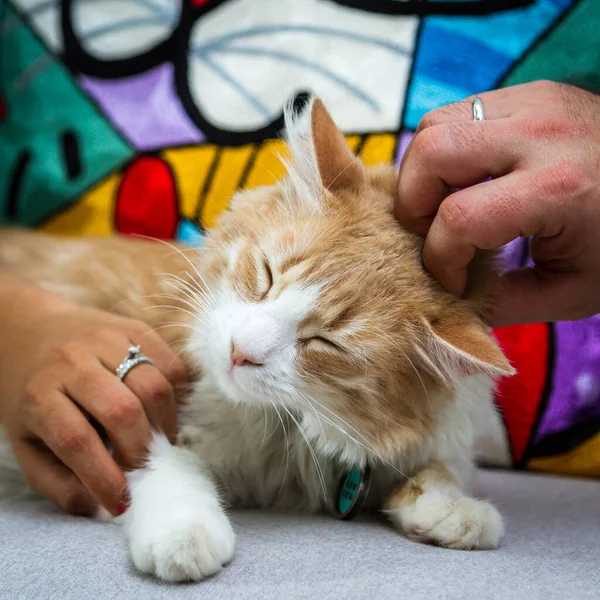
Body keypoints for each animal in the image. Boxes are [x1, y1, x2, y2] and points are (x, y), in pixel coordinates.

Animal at [2, 98, 512, 580]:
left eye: (327, 344)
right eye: (266, 275)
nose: (239, 352)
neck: (293, 430)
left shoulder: (438, 428)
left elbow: (442, 468)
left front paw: (455, 510)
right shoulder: (130, 428)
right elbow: (167, 464)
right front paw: (184, 534)